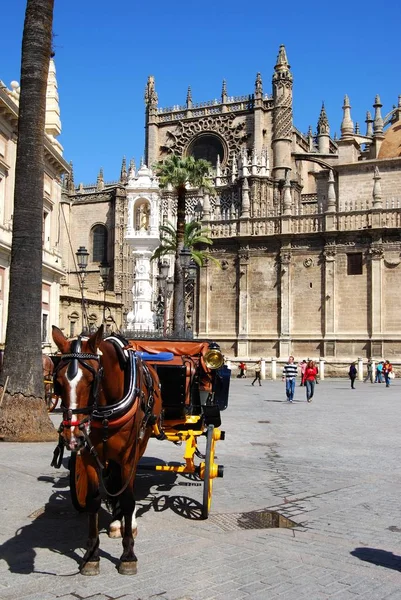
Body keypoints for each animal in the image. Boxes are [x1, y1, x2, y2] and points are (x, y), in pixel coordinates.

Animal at [51, 326, 161, 576]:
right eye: (58, 382)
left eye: (92, 380)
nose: (72, 437)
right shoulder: (89, 455)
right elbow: (93, 499)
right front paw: (92, 555)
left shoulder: (129, 455)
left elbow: (129, 498)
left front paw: (128, 555)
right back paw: (117, 521)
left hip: (139, 445)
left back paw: (127, 522)